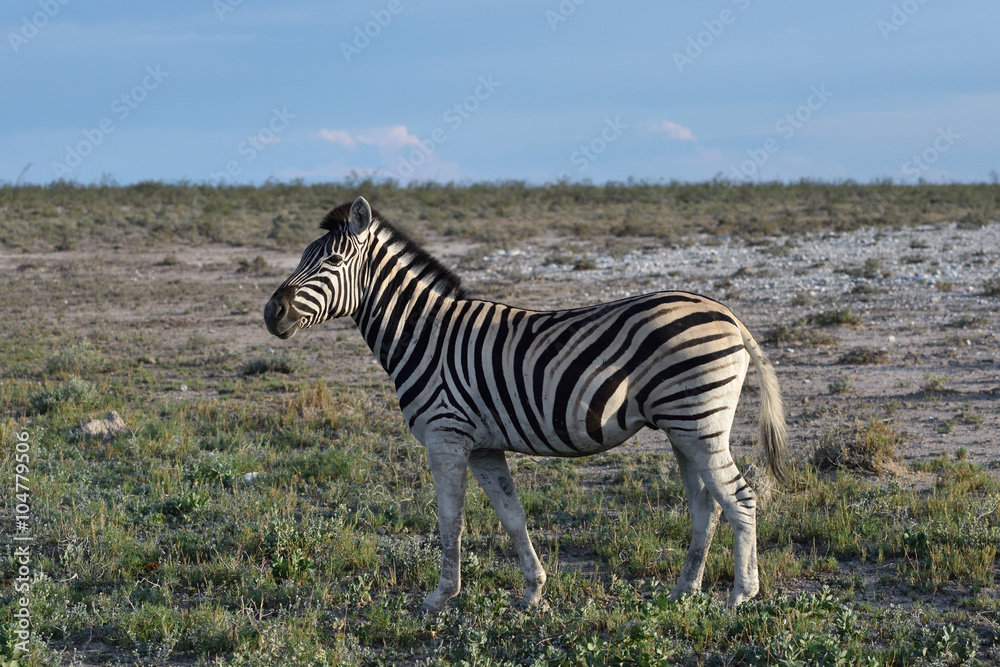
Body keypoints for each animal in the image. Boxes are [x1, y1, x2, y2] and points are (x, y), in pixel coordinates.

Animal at [264, 196, 788, 612]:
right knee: (705, 506)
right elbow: (512, 517)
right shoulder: (483, 446)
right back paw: (683, 592)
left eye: (331, 260)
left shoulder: (446, 437)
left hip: (698, 422)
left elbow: (450, 520)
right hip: (684, 429)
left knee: (739, 498)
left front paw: (439, 597)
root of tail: (729, 314)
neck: (425, 336)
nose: (272, 312)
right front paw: (534, 592)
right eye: (303, 257)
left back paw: (740, 596)